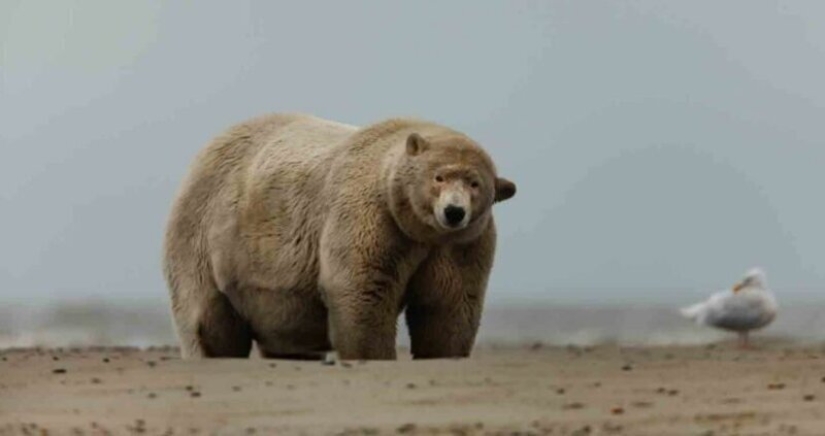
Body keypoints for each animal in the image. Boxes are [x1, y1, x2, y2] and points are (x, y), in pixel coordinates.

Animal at [162, 113, 516, 360]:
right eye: (439, 177)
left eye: (474, 183)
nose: (454, 212)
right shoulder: (371, 217)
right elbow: (361, 290)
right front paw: (374, 354)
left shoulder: (459, 245)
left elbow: (450, 302)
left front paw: (441, 352)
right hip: (205, 232)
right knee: (206, 316)